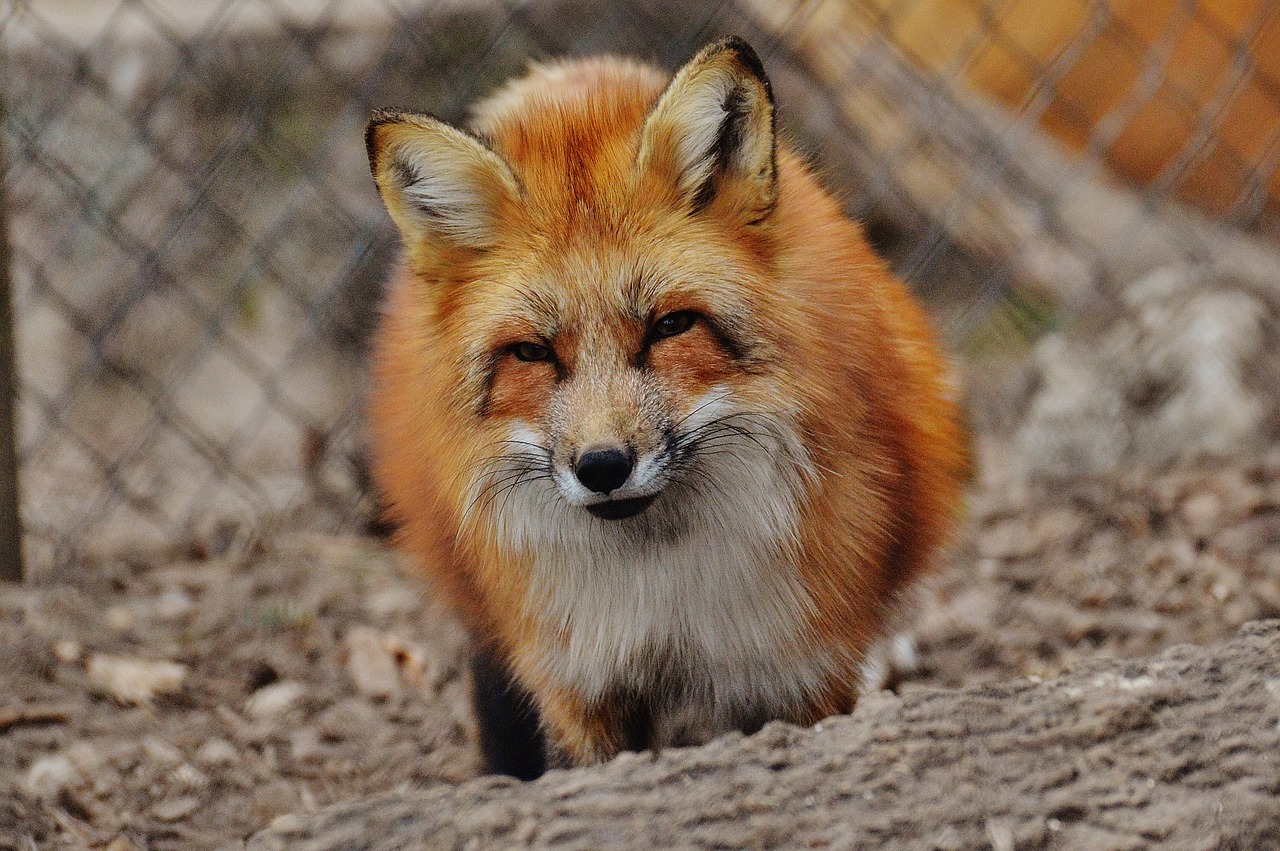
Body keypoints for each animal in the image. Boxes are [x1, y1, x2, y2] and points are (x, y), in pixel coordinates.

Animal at [366, 36, 962, 772]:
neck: (662, 593)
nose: (601, 466)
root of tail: (573, 74)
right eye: (533, 353)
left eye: (670, 326)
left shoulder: (799, 664)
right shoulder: (581, 683)